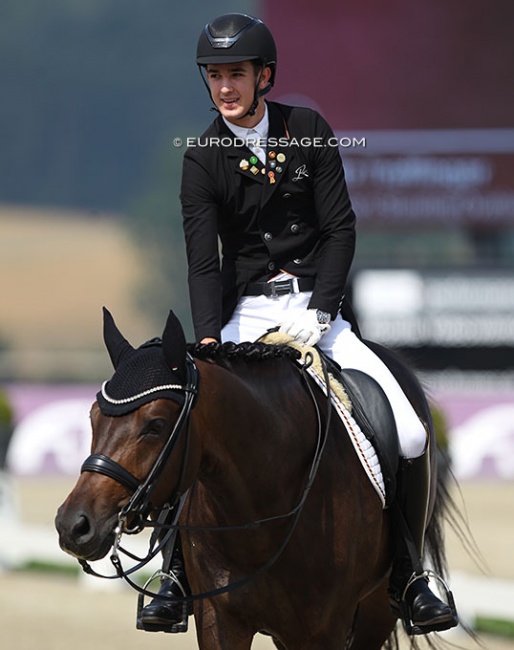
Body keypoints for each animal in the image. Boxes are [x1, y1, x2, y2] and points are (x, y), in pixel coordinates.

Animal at [55, 308, 452, 648]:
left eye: (156, 425)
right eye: (93, 417)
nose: (73, 525)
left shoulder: (323, 629)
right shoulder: (219, 621)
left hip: (374, 612)